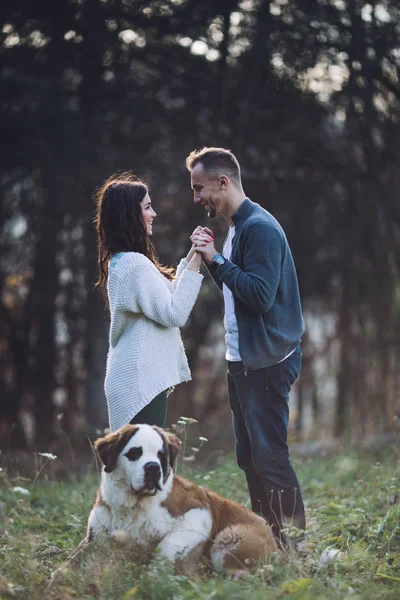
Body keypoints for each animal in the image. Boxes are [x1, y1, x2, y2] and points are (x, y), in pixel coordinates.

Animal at [86, 422, 278, 572]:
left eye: (161, 455)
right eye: (134, 454)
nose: (153, 468)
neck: (134, 504)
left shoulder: (200, 513)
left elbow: (167, 546)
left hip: (228, 538)